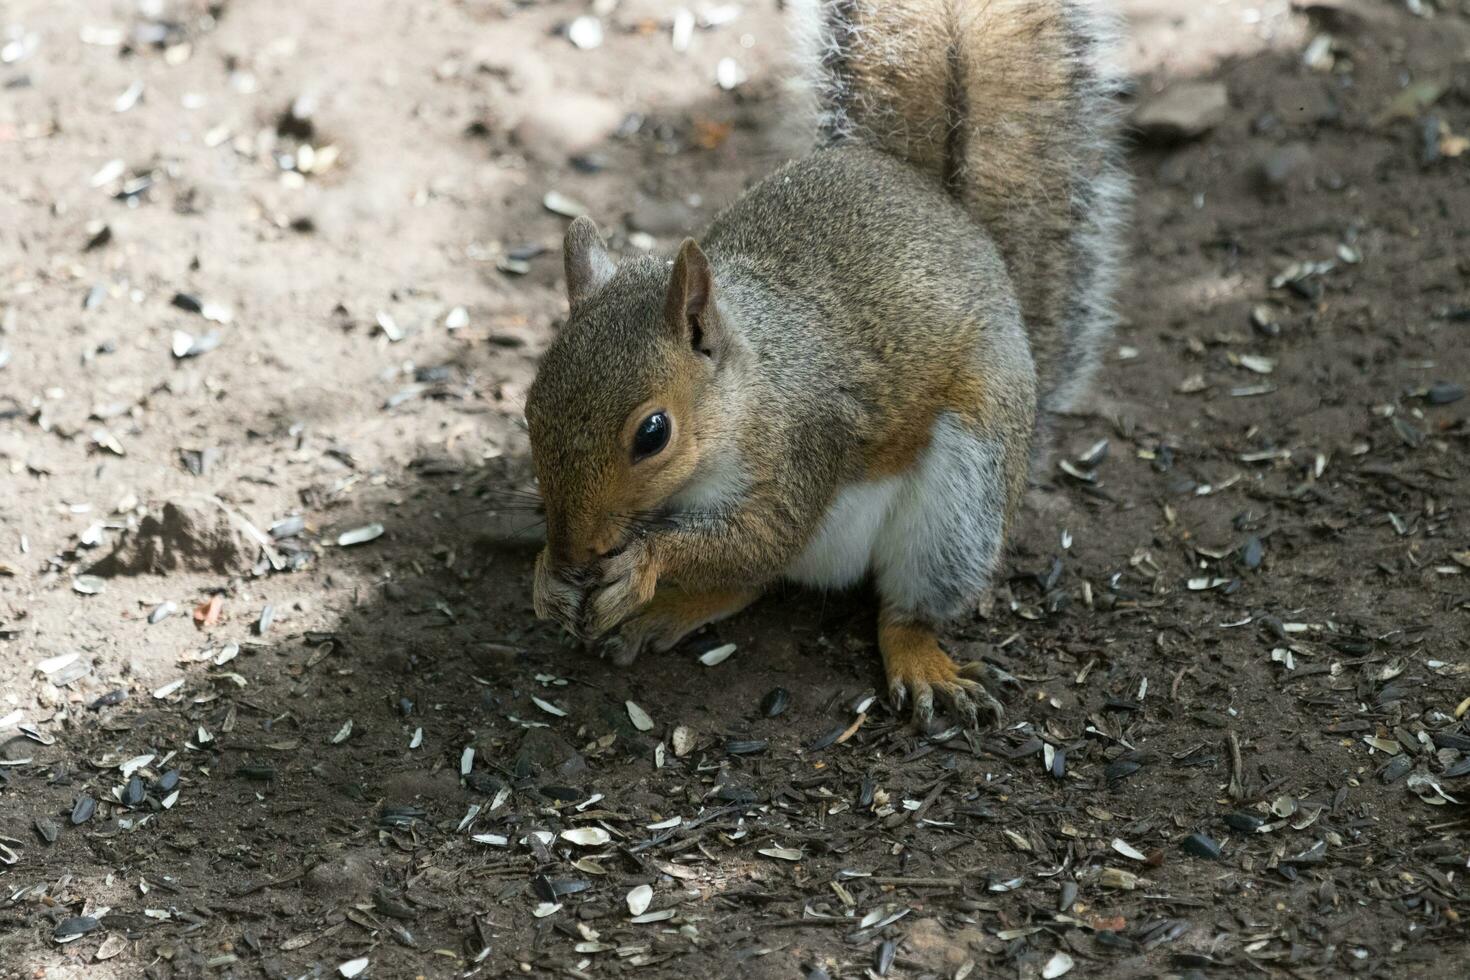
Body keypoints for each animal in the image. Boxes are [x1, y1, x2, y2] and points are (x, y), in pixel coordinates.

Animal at [523, 0, 1128, 725]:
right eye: (528, 412)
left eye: (653, 434)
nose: (575, 551)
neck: (750, 386)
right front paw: (547, 579)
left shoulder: (806, 442)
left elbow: (763, 534)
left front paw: (642, 564)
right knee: (749, 584)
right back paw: (668, 610)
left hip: (964, 495)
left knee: (898, 602)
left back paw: (920, 661)